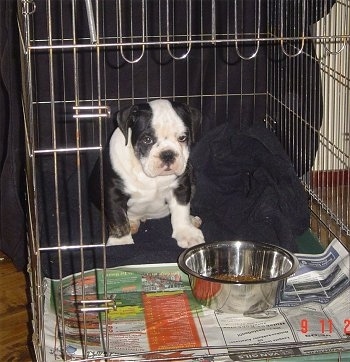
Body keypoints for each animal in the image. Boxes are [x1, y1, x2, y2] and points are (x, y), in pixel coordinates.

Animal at [89, 99, 205, 249]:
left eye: (182, 138)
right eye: (147, 140)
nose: (167, 155)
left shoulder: (181, 186)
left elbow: (181, 210)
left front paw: (187, 233)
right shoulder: (113, 193)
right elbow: (118, 218)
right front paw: (121, 243)